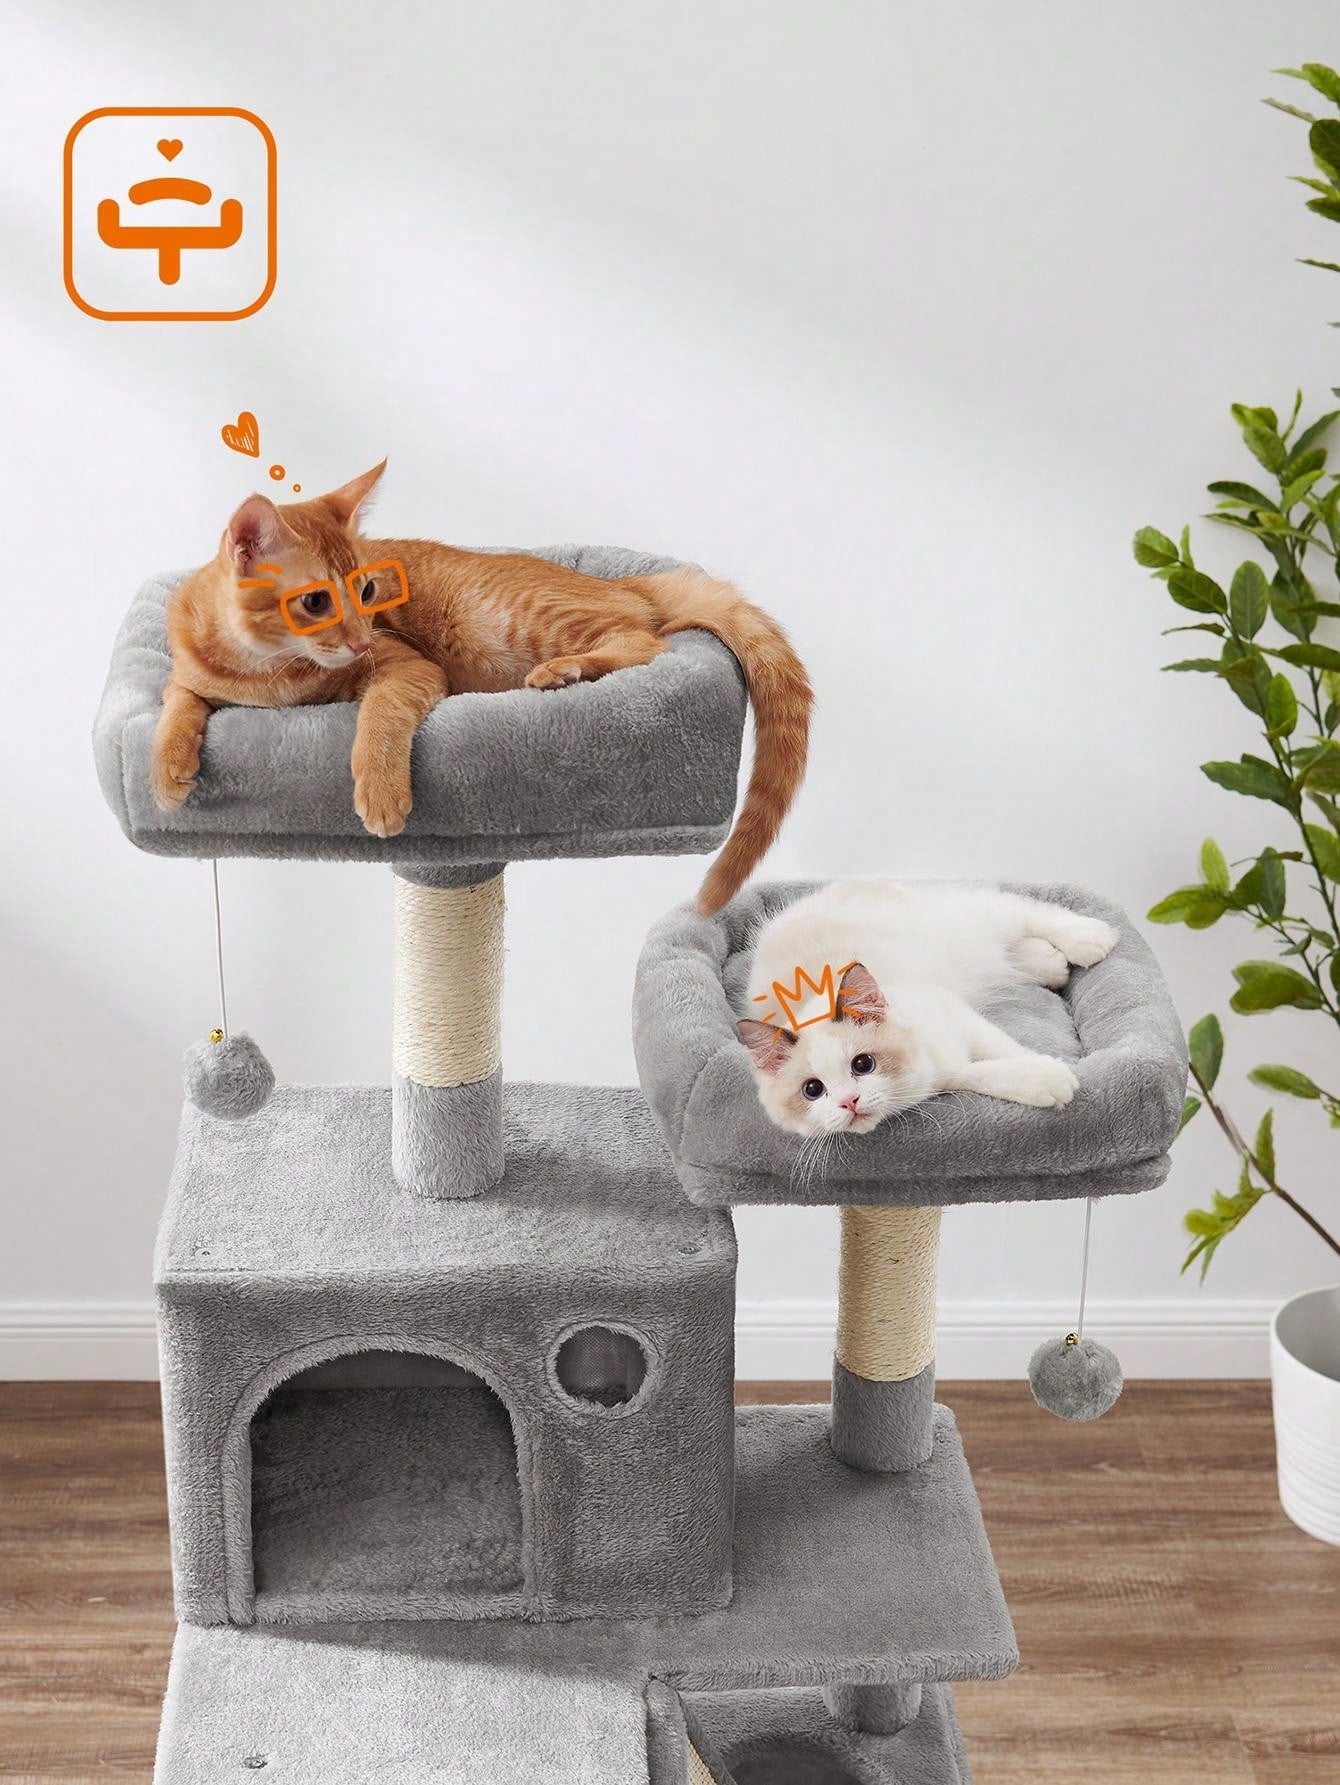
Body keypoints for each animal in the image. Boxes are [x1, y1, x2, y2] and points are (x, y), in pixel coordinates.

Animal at [151, 463, 811, 913]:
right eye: (315, 602)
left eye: (367, 591)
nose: (361, 640)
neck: (272, 678)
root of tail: (625, 584)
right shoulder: (187, 675)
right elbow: (176, 702)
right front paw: (167, 772)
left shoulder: (408, 669)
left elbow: (379, 715)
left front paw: (381, 790)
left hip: (520, 619)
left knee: (646, 642)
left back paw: (563, 671)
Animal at [736, 880, 1120, 1137]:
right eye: (813, 1090)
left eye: (863, 1064)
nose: (849, 1102)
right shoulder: (946, 1074)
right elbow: (979, 1073)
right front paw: (1043, 1078)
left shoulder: (955, 1013)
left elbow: (1005, 1049)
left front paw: (1054, 1071)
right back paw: (1051, 964)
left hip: (966, 923)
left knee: (1024, 911)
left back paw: (1089, 939)